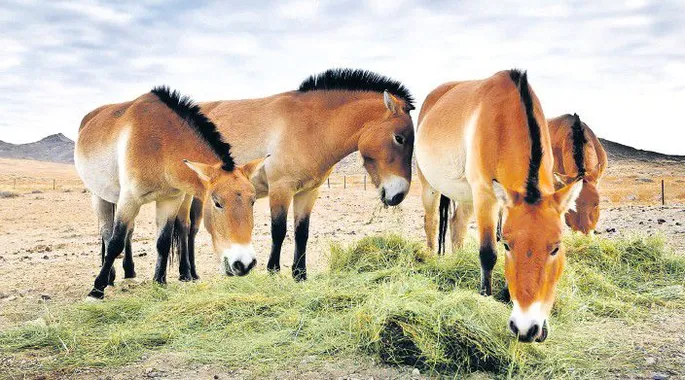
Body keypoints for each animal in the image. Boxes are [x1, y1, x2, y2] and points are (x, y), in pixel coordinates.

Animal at [76, 87, 264, 300]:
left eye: (253, 201)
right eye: (217, 203)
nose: (245, 264)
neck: (162, 144)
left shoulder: (170, 200)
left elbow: (163, 242)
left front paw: (159, 282)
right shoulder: (129, 199)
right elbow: (115, 242)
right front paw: (96, 290)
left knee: (128, 233)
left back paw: (128, 271)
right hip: (99, 196)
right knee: (107, 234)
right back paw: (109, 277)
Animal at [414, 70, 580, 342]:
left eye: (556, 248)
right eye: (509, 247)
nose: (526, 329)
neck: (506, 119)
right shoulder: (485, 195)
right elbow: (488, 252)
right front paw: (486, 296)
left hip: (467, 197)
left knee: (456, 225)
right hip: (430, 185)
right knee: (431, 222)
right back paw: (431, 258)